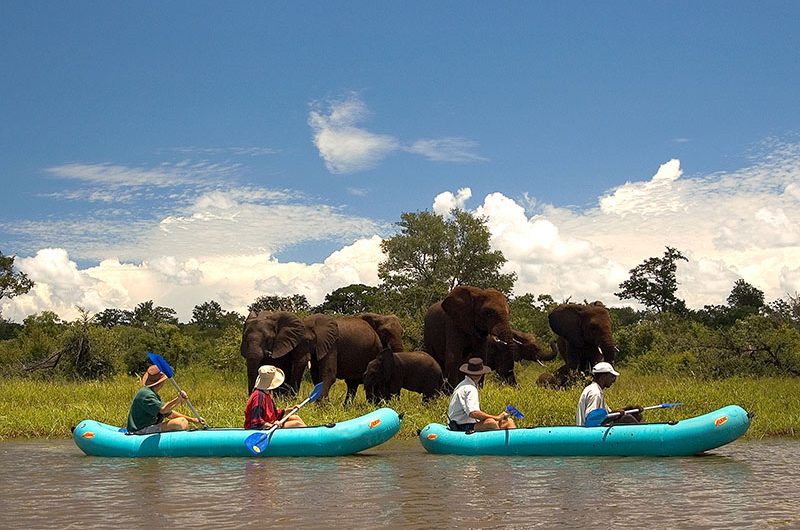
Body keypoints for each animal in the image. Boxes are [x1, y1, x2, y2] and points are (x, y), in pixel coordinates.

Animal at [424, 282, 556, 386]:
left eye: (509, 313)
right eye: (488, 313)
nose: (553, 340)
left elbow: (481, 358)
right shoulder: (453, 322)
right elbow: (453, 358)